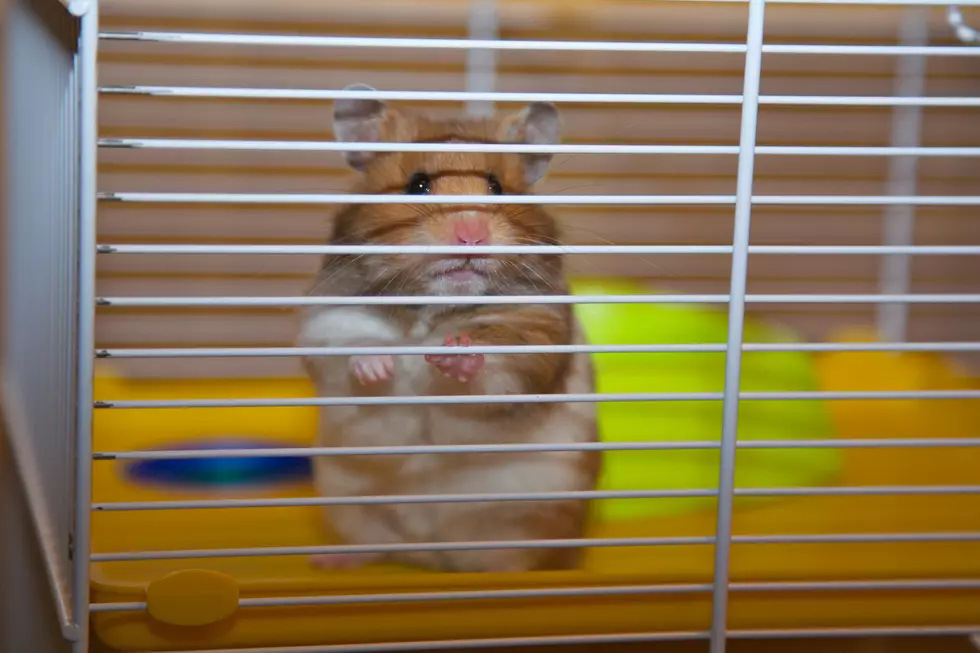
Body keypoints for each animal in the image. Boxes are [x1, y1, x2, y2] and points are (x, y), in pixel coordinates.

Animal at [297, 83, 600, 574]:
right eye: (416, 184)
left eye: (496, 187)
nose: (471, 235)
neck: (434, 308)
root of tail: (434, 557)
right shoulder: (329, 313)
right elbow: (348, 342)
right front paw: (381, 367)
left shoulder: (538, 328)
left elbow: (495, 365)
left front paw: (448, 354)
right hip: (350, 503)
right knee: (375, 543)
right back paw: (330, 561)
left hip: (535, 519)